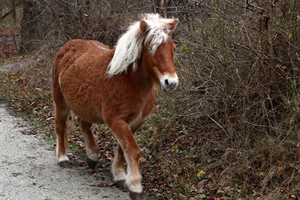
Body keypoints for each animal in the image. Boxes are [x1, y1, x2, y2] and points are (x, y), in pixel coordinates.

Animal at [51, 13, 178, 199]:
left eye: (172, 47)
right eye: (151, 48)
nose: (171, 82)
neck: (131, 81)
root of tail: (67, 47)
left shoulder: (135, 122)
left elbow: (122, 149)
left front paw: (119, 176)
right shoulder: (116, 120)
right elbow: (132, 149)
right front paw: (135, 186)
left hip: (85, 105)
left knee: (84, 125)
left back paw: (92, 156)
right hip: (60, 101)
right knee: (61, 127)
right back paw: (62, 158)